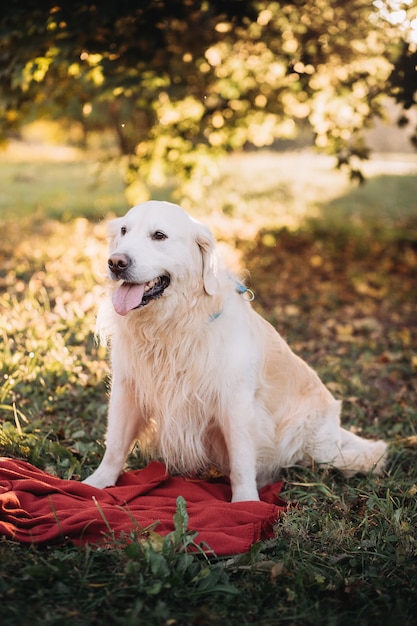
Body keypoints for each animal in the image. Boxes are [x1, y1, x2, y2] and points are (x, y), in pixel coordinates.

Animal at [84, 202, 386, 500]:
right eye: (124, 230)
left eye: (159, 236)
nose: (116, 262)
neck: (171, 325)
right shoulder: (127, 387)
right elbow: (115, 444)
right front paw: (96, 483)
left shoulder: (235, 401)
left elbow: (241, 460)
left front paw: (245, 502)